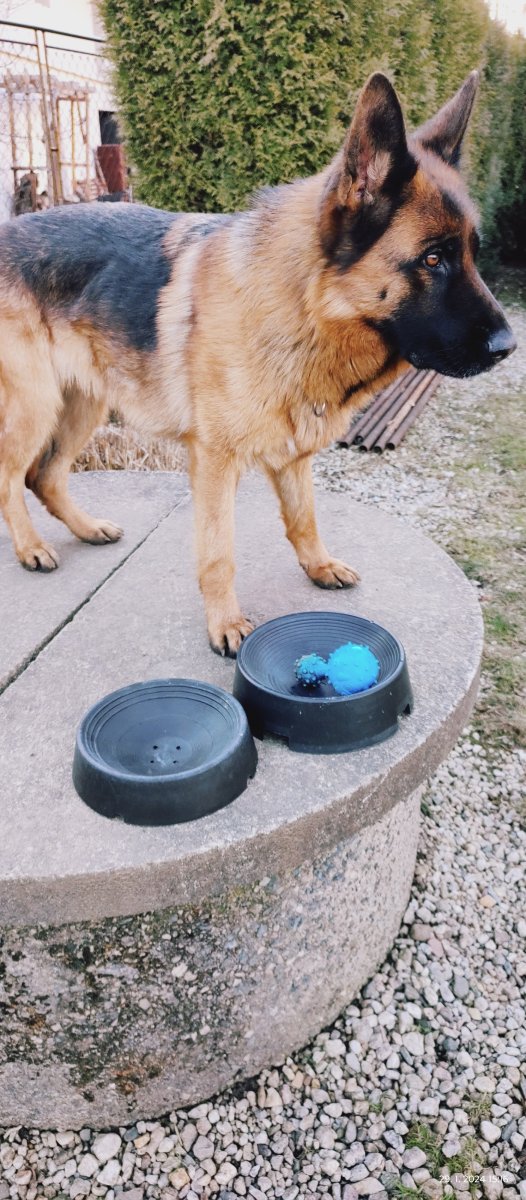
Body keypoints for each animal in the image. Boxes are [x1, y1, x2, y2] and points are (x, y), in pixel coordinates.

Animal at [0, 70, 516, 655]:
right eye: (433, 259)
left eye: (473, 253)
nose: (508, 346)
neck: (306, 305)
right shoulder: (214, 463)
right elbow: (218, 552)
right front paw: (224, 622)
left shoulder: (293, 455)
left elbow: (304, 519)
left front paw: (319, 567)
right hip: (37, 405)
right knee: (11, 476)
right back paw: (30, 547)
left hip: (83, 403)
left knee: (44, 475)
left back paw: (86, 528)